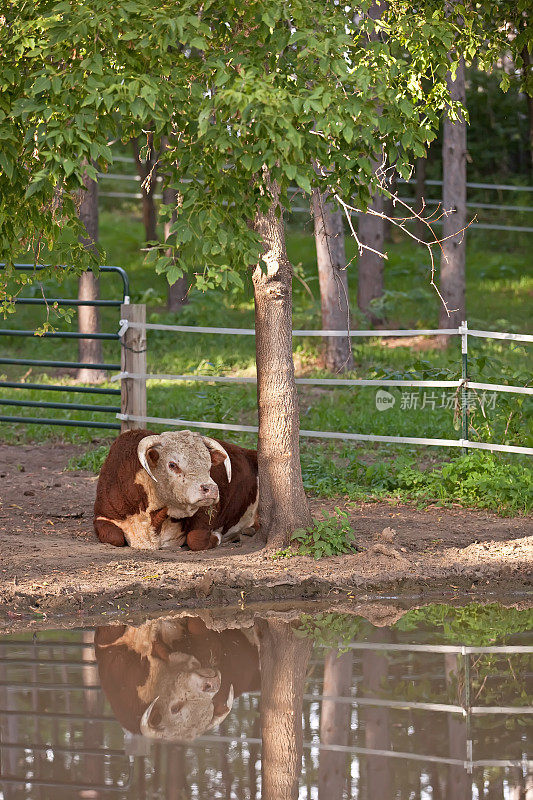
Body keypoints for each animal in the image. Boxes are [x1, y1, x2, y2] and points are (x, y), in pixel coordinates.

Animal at [94, 432, 260, 552]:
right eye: (172, 464)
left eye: (209, 464)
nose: (212, 489)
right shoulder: (102, 516)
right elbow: (114, 537)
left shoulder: (207, 509)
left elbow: (196, 539)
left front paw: (218, 536)